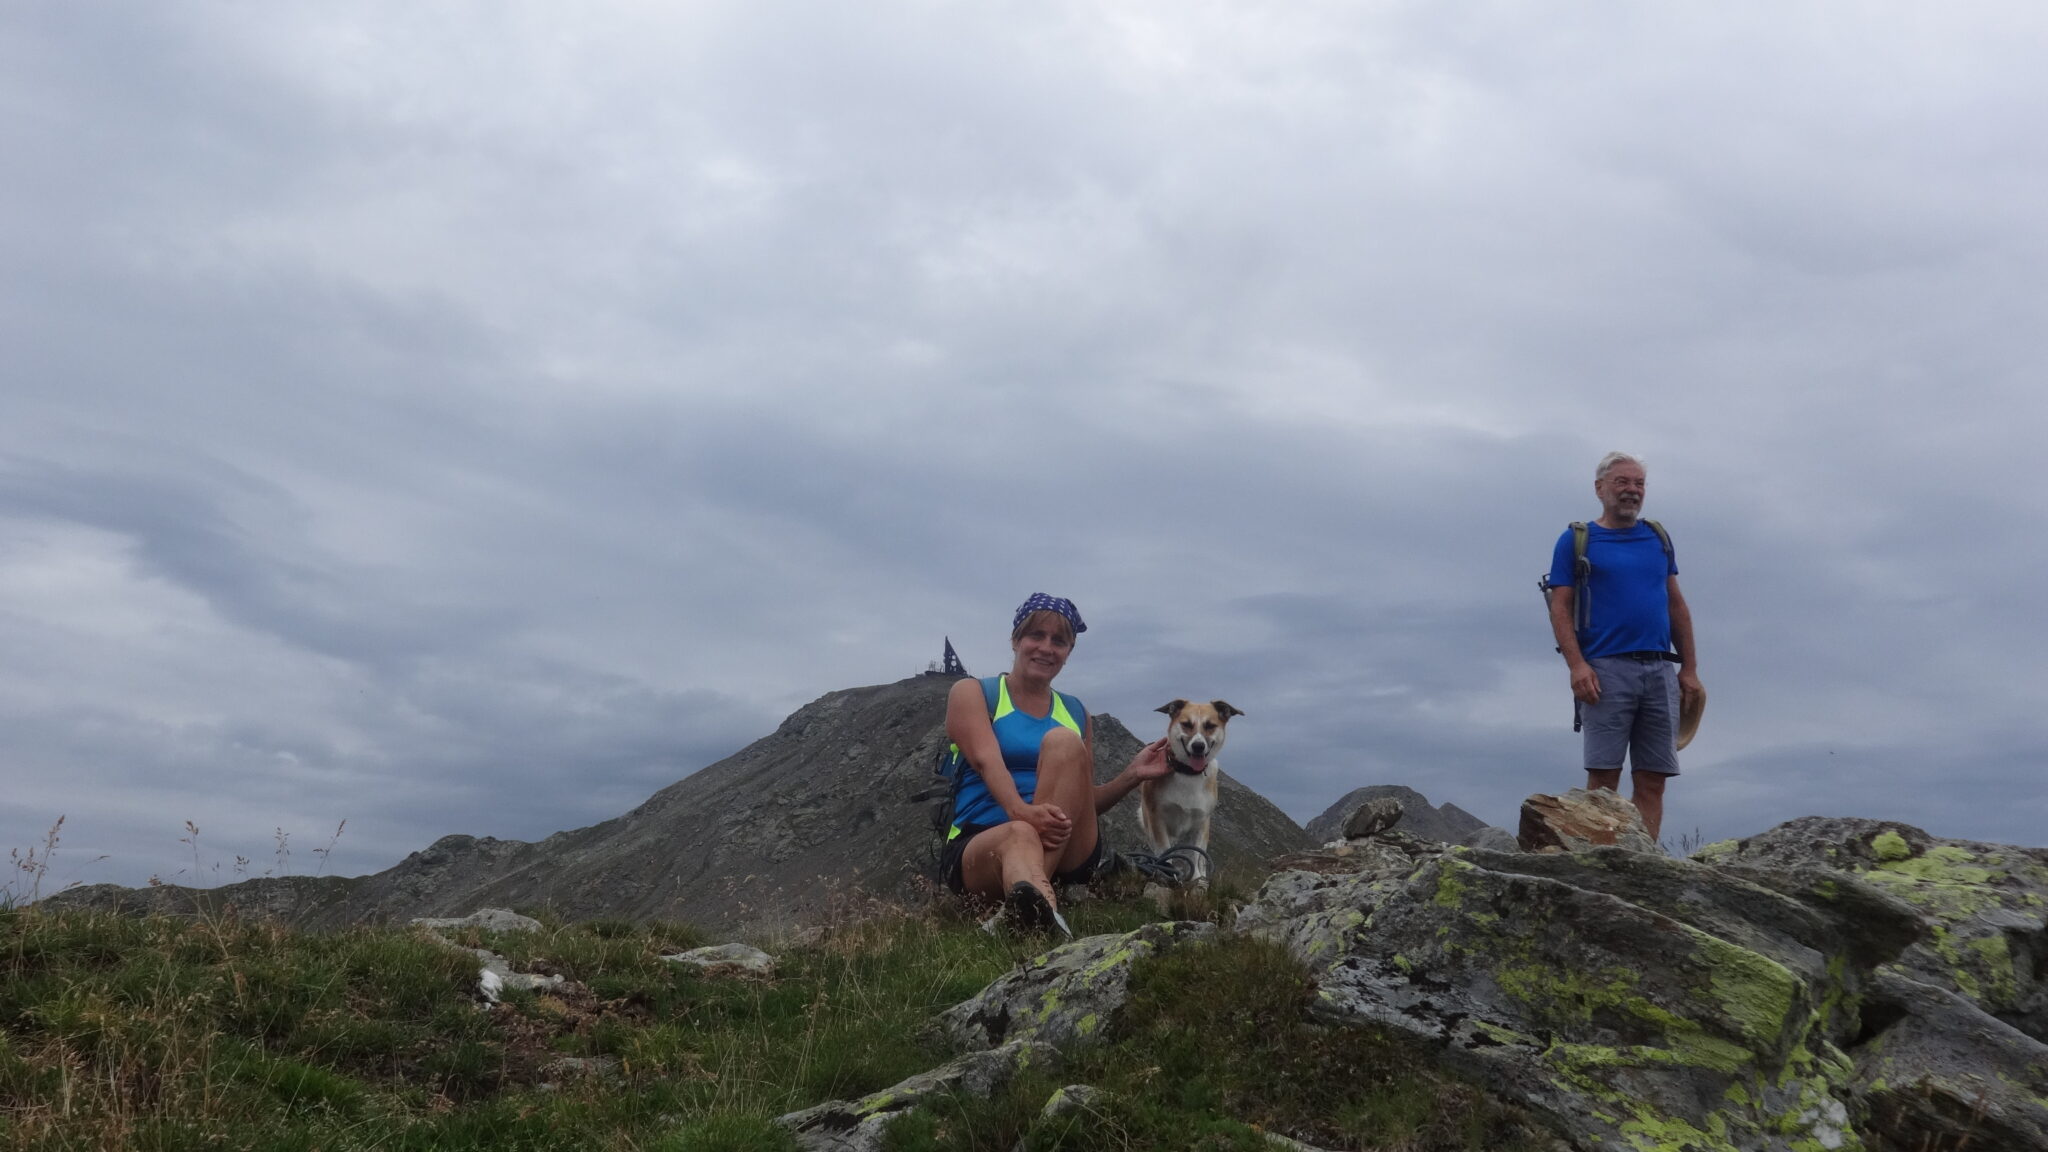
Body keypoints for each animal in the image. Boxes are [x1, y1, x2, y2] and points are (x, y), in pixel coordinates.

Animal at [1146, 696, 1236, 881]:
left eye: (1210, 725)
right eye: (1186, 724)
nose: (1198, 746)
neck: (1188, 774)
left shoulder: (1200, 822)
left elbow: (1196, 854)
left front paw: (1196, 878)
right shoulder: (1157, 819)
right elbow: (1165, 851)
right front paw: (1166, 873)